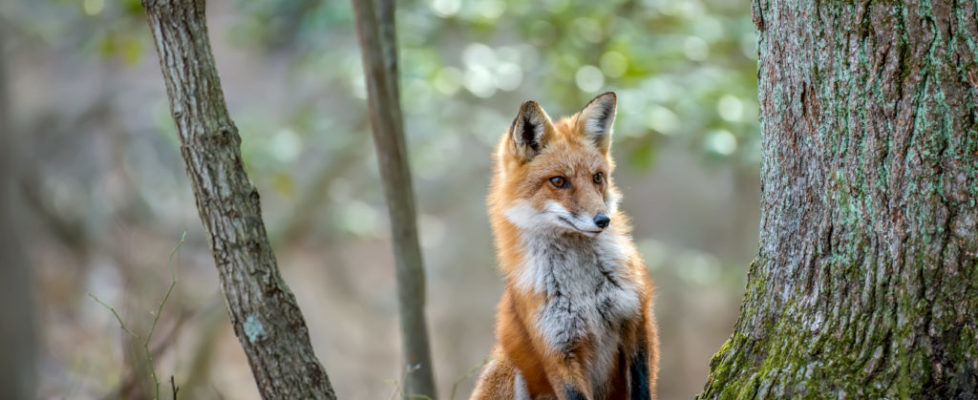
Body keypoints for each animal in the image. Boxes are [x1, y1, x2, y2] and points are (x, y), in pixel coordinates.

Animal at [470, 91, 656, 400]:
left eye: (597, 177)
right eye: (558, 181)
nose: (603, 220)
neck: (584, 290)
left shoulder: (637, 322)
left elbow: (642, 390)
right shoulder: (557, 351)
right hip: (509, 367)